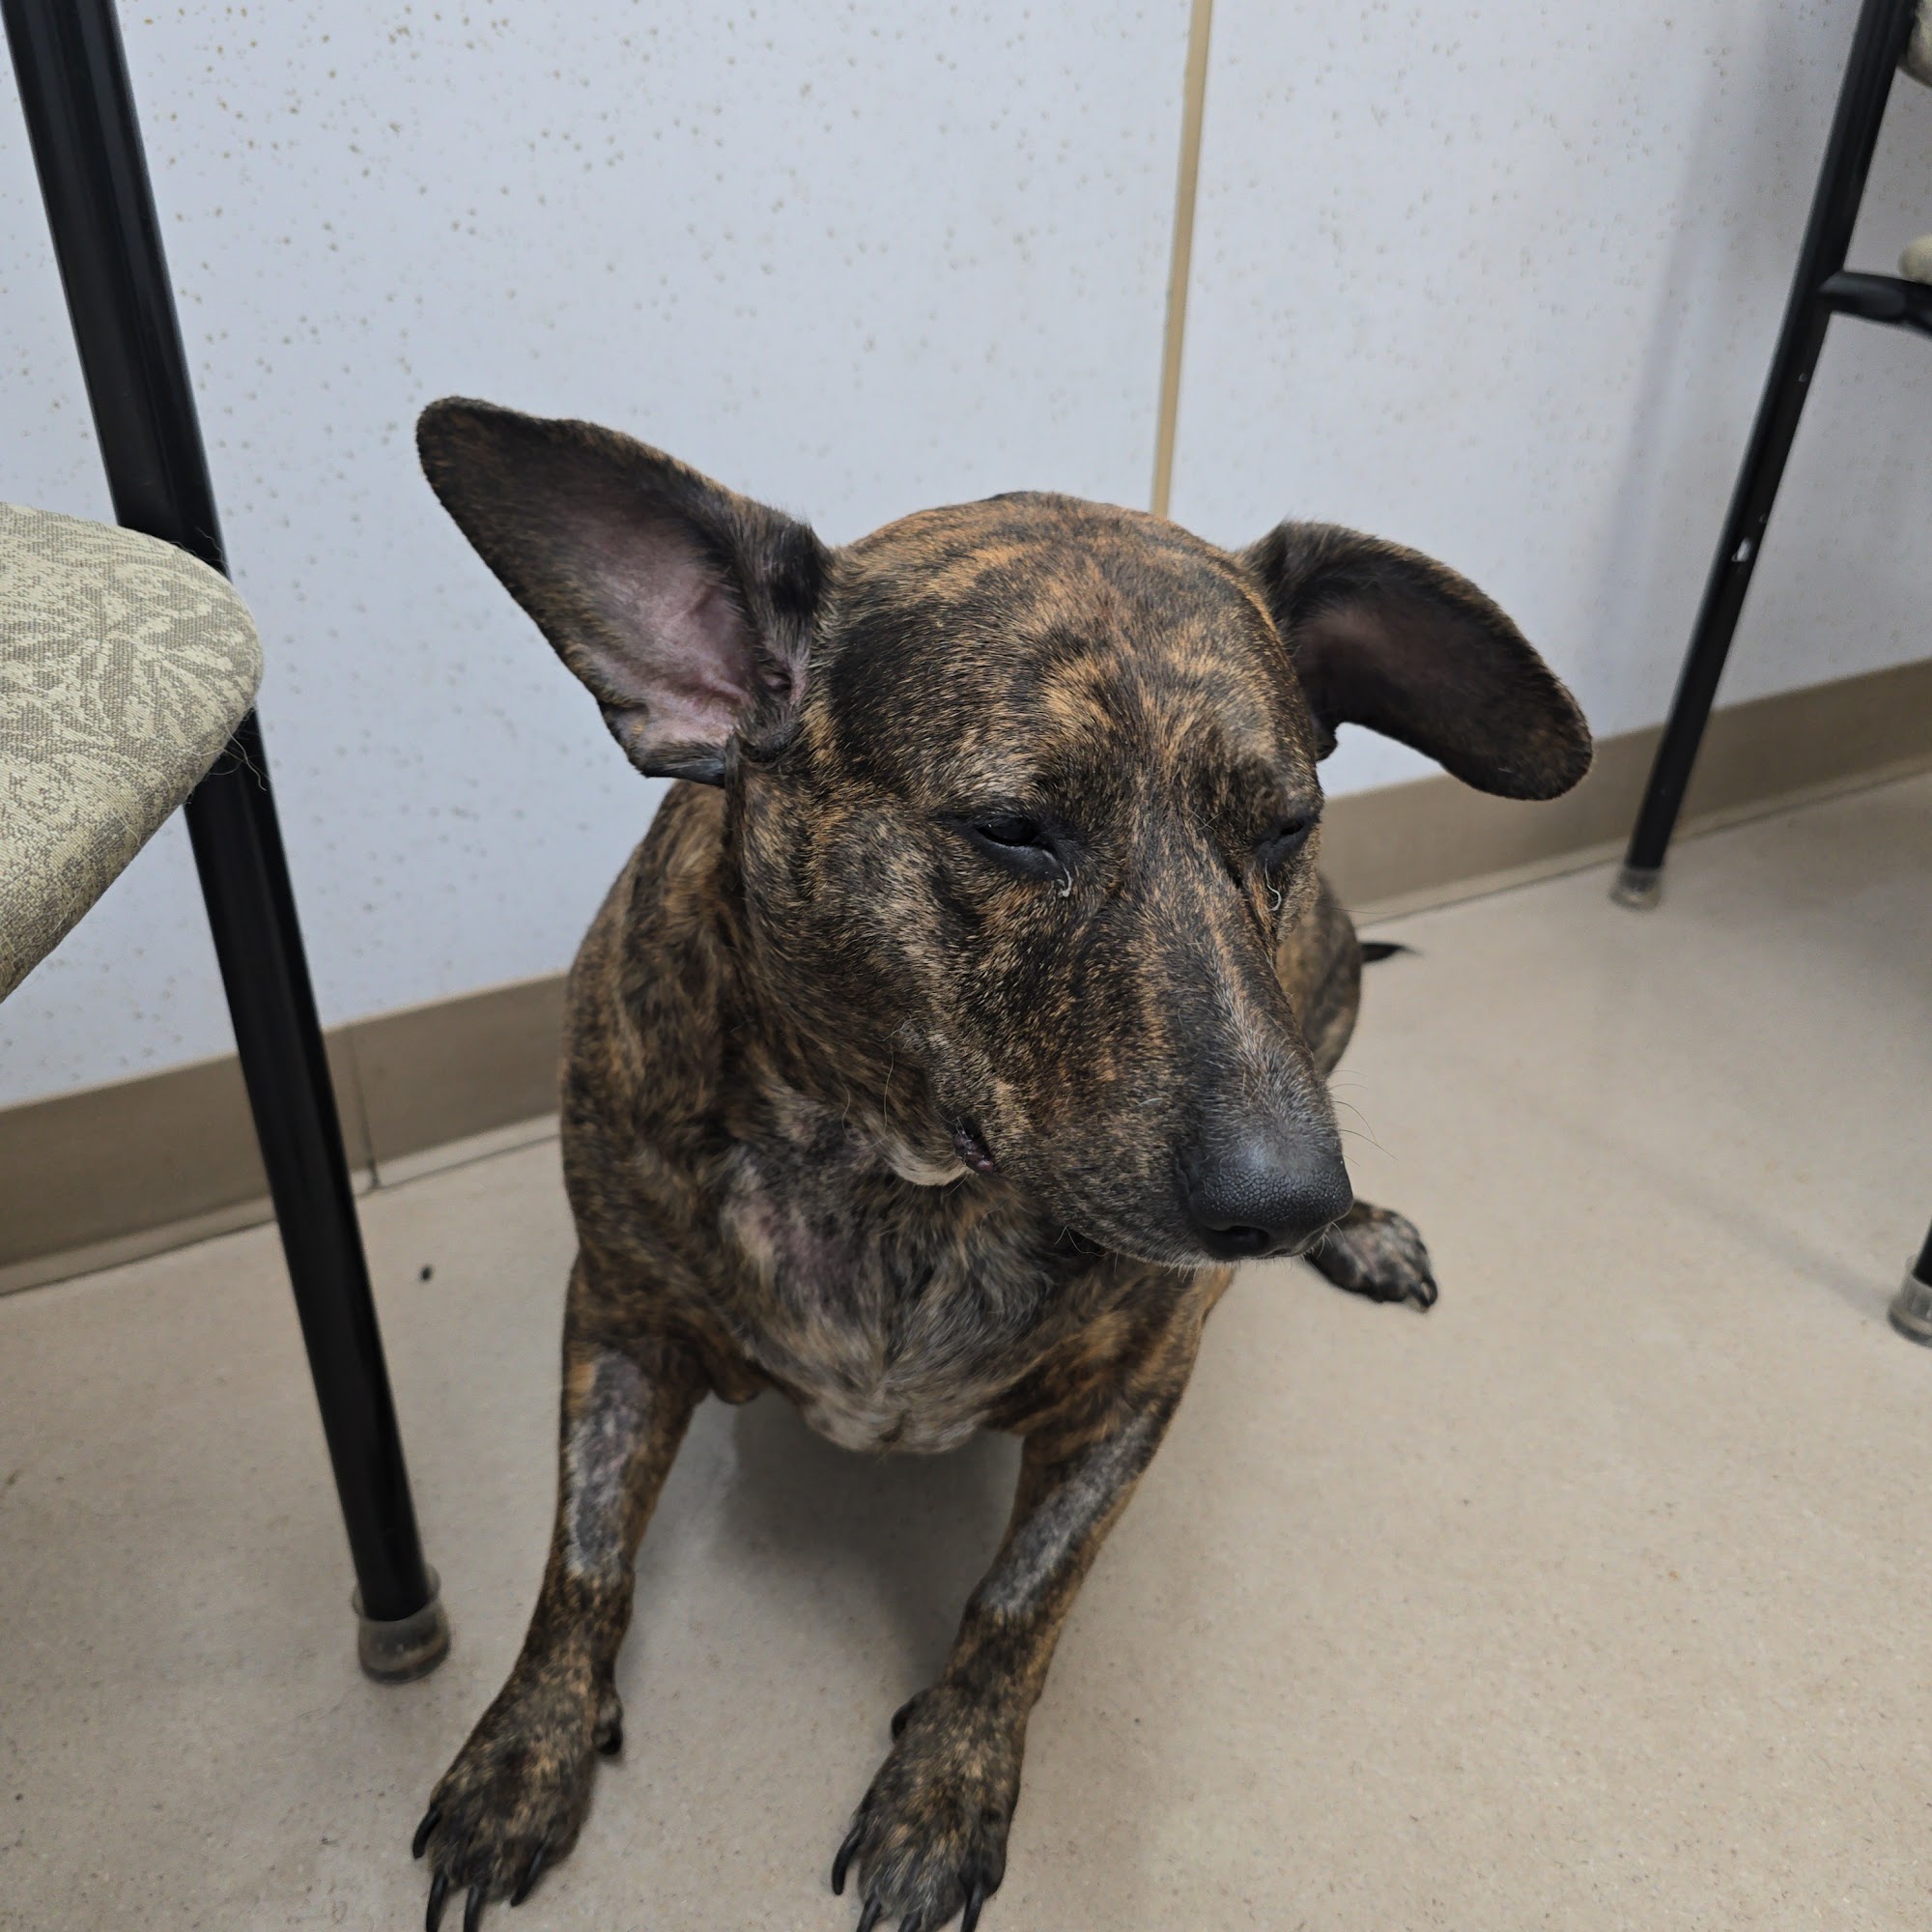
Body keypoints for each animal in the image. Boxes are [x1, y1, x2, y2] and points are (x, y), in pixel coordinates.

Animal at [407, 398, 1591, 1931]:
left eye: (1285, 825)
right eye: (1011, 829)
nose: (1287, 1203)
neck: (896, 1173)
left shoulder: (1131, 1397)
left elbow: (1021, 1604)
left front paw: (944, 1789)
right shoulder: (618, 1318)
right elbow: (583, 1554)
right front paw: (528, 1749)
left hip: (1330, 980)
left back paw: (1367, 1228)